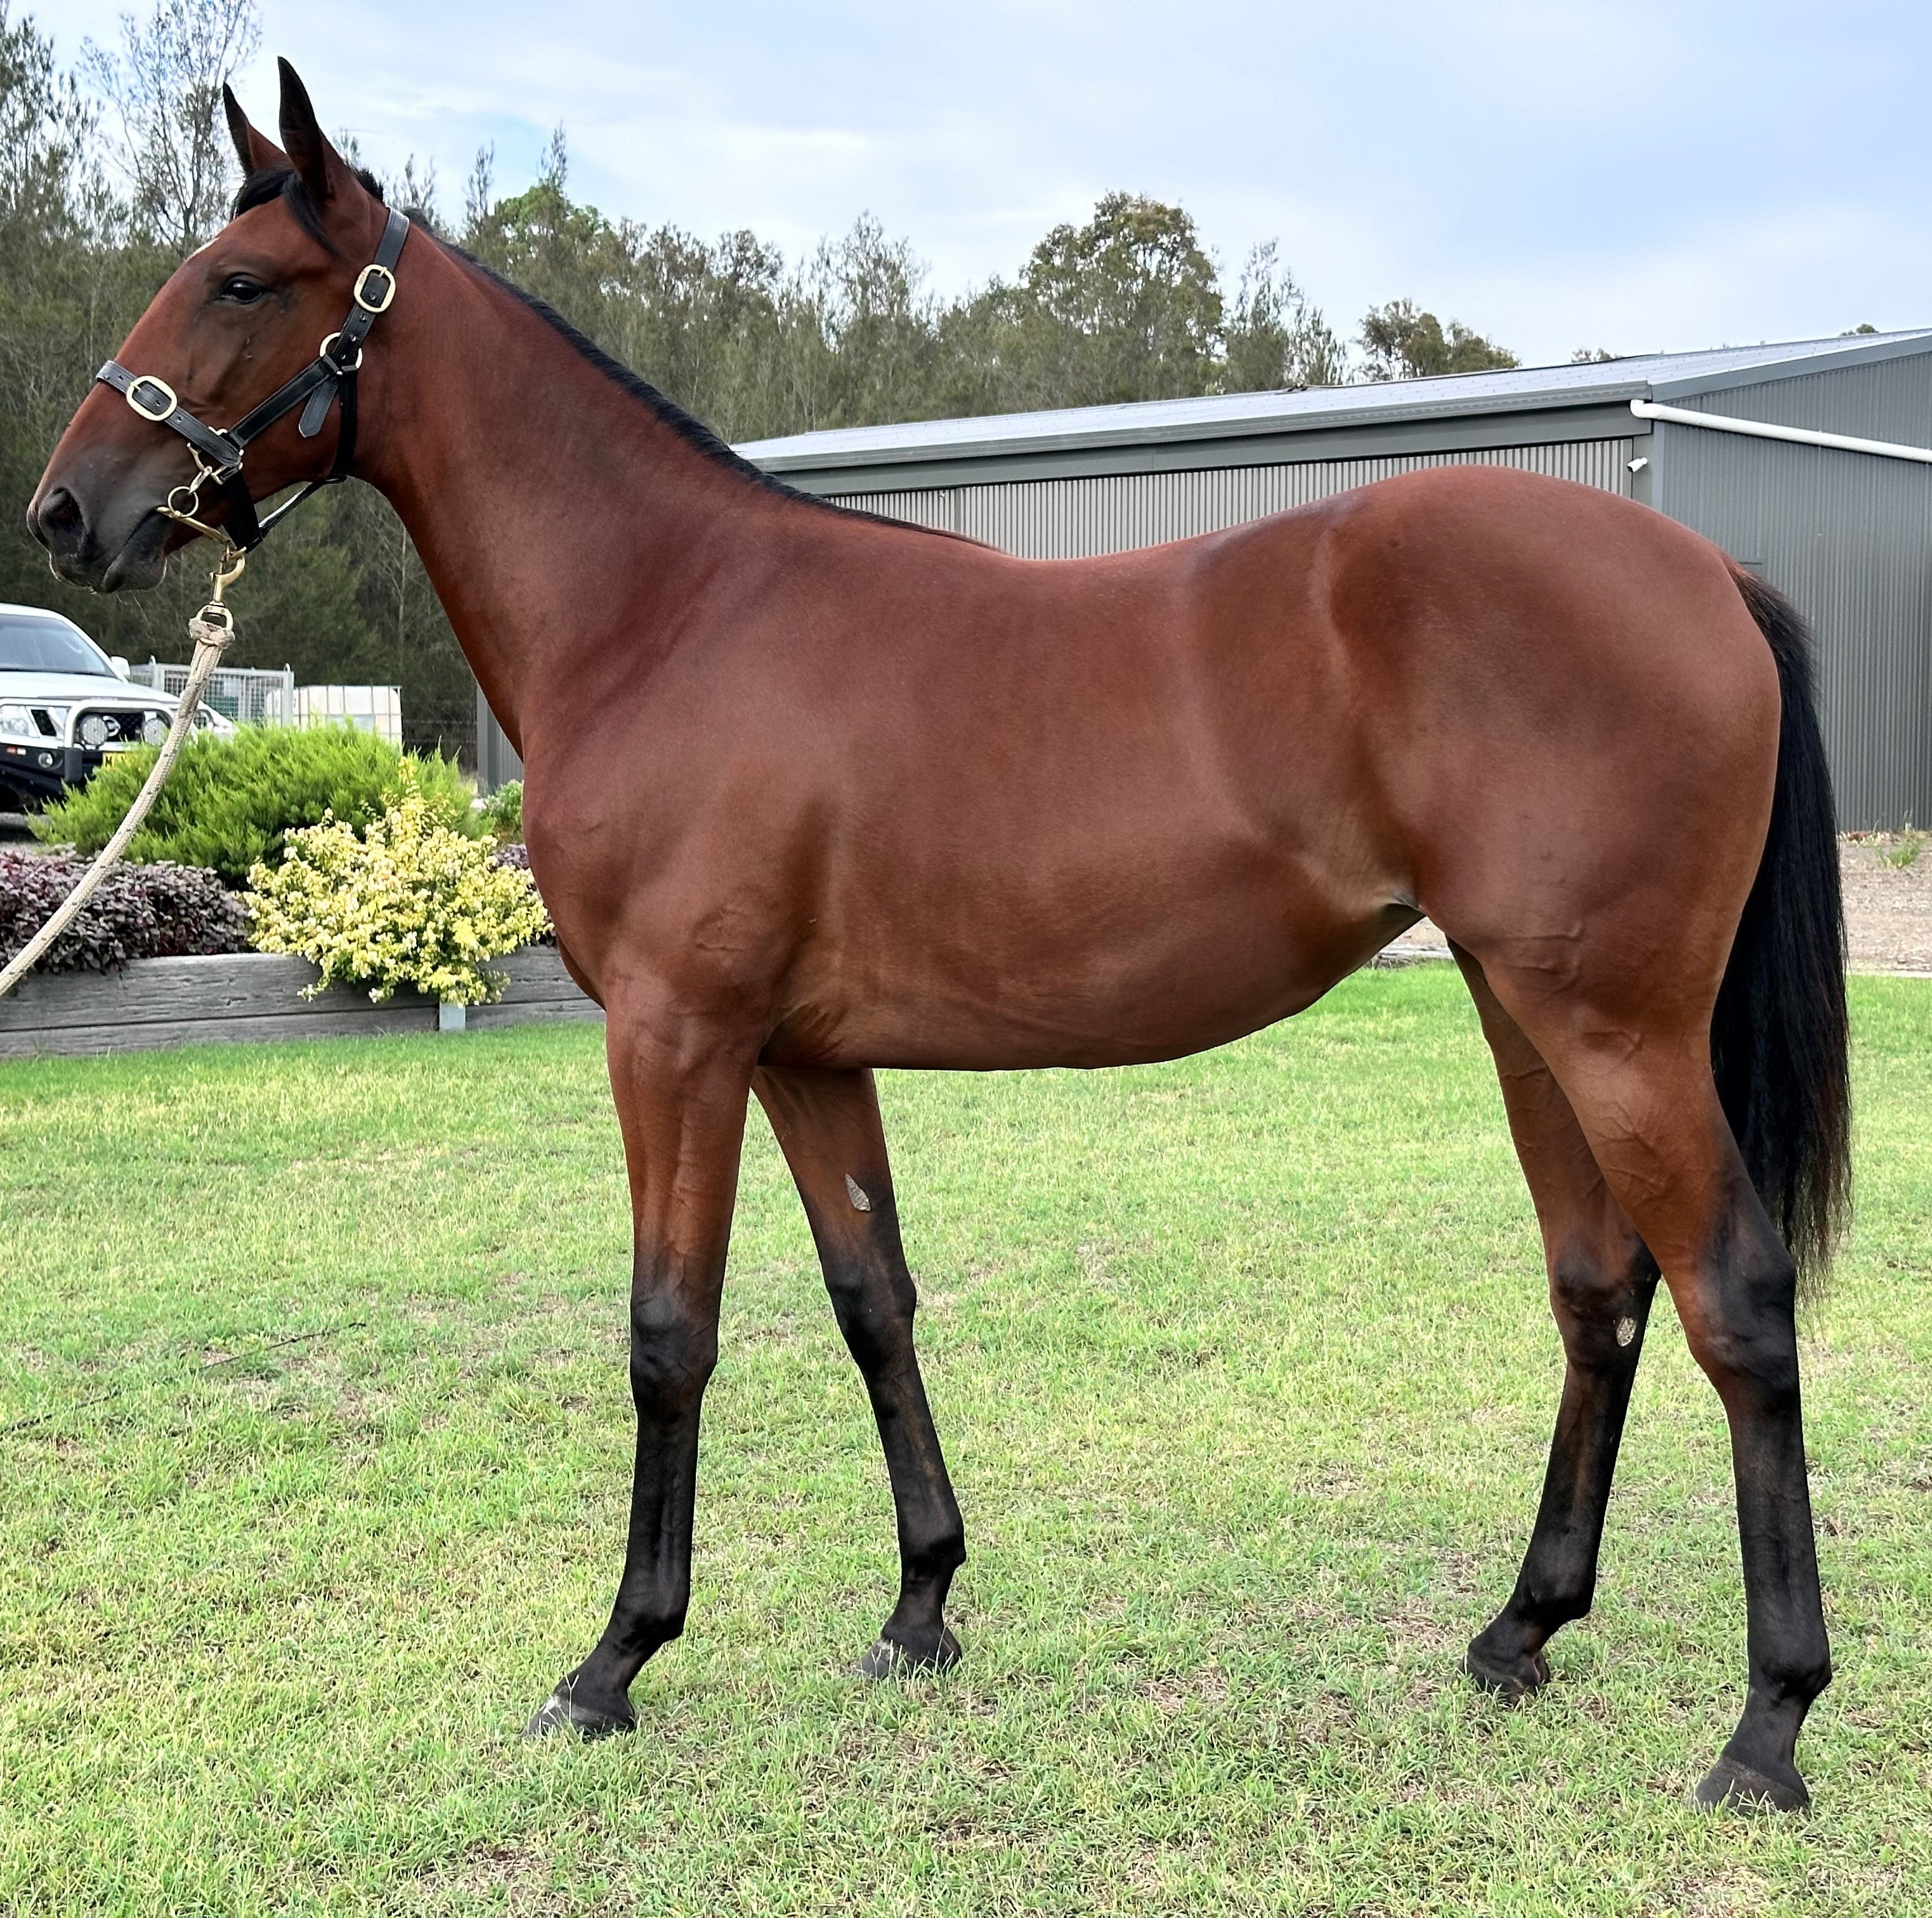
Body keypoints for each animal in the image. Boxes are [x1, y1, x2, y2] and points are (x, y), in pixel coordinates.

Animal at [29, 63, 1849, 1813]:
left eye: (241, 283)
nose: (65, 514)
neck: (663, 613)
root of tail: (1702, 569)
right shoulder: (803, 1058)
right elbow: (871, 1301)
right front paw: (919, 1605)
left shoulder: (675, 1039)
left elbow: (667, 1337)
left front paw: (614, 1662)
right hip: (1520, 1010)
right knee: (1597, 1291)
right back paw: (1519, 1630)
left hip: (1613, 1028)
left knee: (1733, 1302)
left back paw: (1764, 1727)